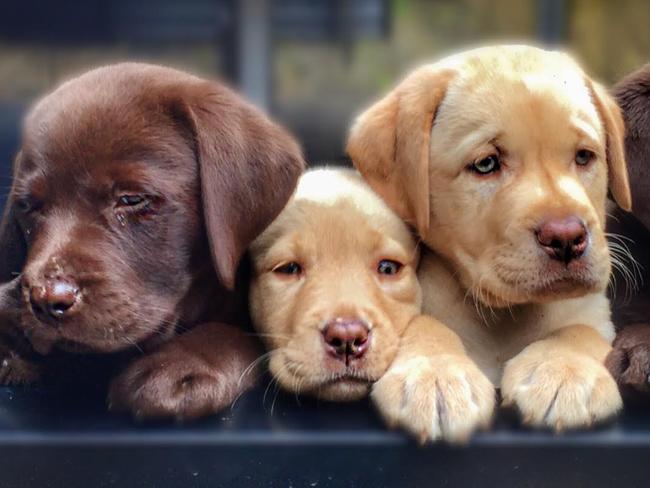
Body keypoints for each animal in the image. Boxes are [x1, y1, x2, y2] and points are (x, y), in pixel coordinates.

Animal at [346, 45, 632, 440]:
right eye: (486, 164)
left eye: (584, 156)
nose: (567, 238)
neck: (505, 316)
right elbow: (423, 324)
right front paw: (436, 374)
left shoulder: (593, 312)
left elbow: (583, 331)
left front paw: (563, 370)